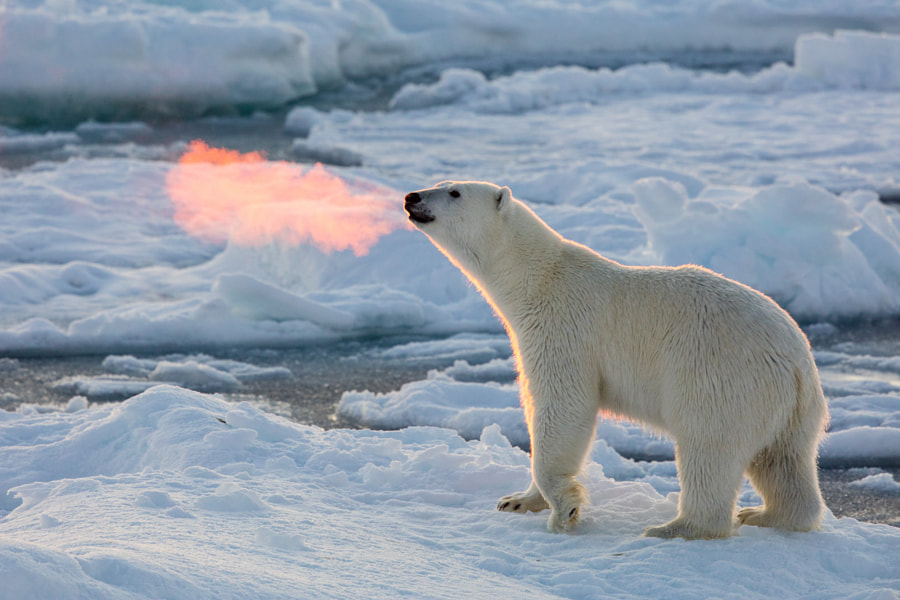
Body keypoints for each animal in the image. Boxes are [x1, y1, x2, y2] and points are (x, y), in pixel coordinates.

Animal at [404, 182, 828, 540]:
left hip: (720, 377)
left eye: (454, 192)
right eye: (440, 182)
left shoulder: (563, 328)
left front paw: (564, 511)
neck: (537, 279)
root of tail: (796, 363)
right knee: (783, 461)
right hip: (790, 409)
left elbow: (564, 406)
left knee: (708, 449)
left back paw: (675, 527)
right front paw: (516, 500)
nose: (411, 197)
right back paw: (766, 514)